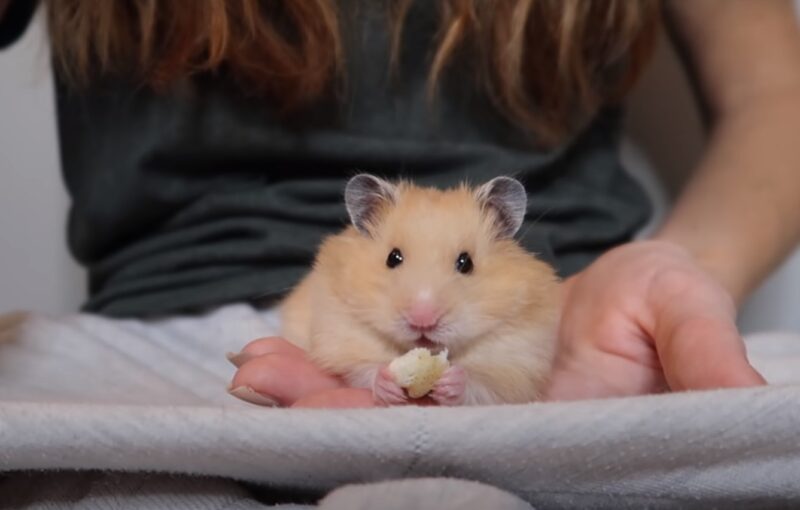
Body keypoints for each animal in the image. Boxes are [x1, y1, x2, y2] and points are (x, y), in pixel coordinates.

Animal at [282, 175, 564, 406]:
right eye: (393, 258)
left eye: (466, 263)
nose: (423, 320)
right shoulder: (338, 335)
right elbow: (362, 368)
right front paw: (387, 383)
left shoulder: (517, 363)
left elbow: (482, 384)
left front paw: (452, 382)